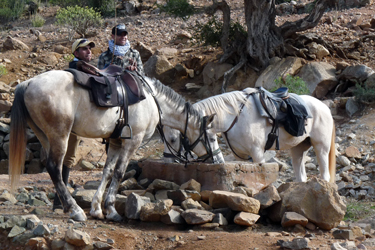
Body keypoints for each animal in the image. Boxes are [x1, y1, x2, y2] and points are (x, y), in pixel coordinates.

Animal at [8, 69, 225, 222]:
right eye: (212, 137)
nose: (219, 161)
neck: (152, 100)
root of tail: (28, 83)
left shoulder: (114, 141)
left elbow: (107, 172)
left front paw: (97, 208)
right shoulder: (132, 141)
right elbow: (119, 173)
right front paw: (111, 209)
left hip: (45, 136)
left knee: (54, 169)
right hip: (60, 136)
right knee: (55, 168)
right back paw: (75, 210)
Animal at [163, 89, 336, 183]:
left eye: (173, 139)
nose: (168, 162)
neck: (235, 117)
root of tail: (324, 108)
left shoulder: (257, 154)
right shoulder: (242, 157)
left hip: (321, 148)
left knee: (325, 175)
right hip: (298, 148)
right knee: (301, 176)